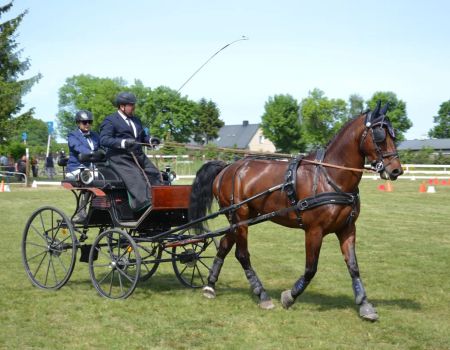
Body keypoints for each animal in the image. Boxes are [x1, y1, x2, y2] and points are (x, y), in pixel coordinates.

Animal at [188, 102, 402, 322]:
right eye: (379, 135)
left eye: (393, 135)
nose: (396, 170)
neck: (330, 176)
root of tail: (227, 167)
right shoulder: (314, 231)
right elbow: (310, 269)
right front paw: (289, 296)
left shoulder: (347, 228)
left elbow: (353, 266)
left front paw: (365, 304)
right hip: (240, 217)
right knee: (242, 254)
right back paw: (262, 294)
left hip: (240, 219)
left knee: (223, 245)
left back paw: (210, 286)